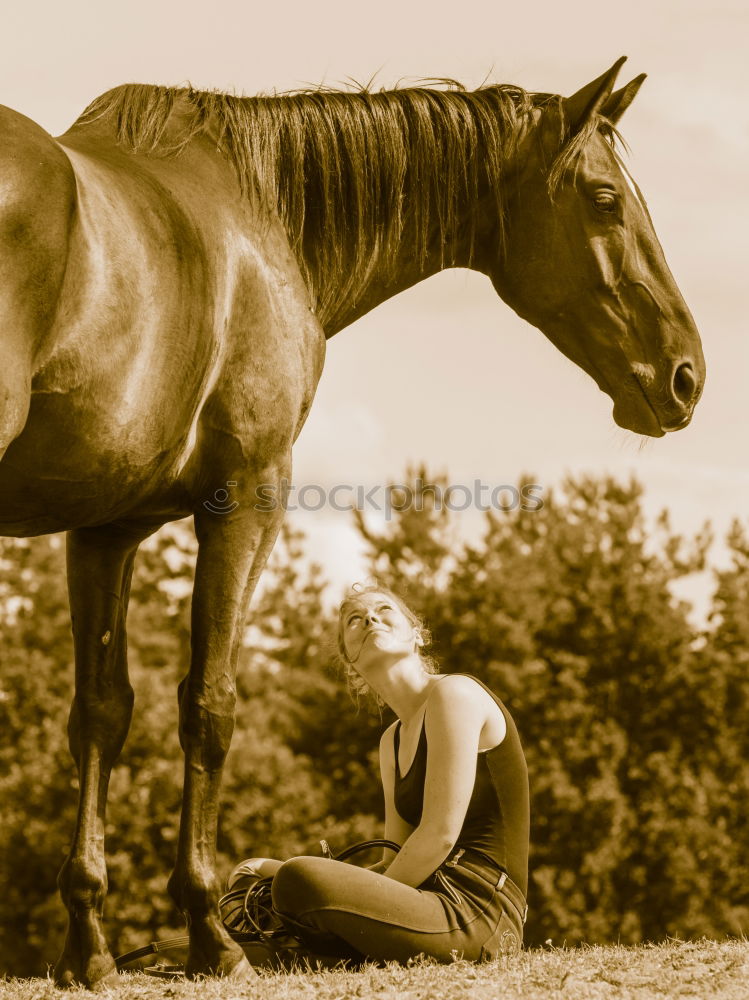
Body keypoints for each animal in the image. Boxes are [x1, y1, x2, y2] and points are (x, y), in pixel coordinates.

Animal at [0, 58, 700, 988]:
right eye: (603, 198)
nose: (685, 376)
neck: (260, 218)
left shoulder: (106, 531)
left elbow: (100, 715)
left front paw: (90, 946)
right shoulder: (246, 497)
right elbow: (209, 706)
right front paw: (211, 935)